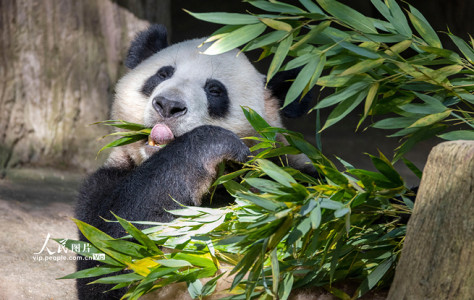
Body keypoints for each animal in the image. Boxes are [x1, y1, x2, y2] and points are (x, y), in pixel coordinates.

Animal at [76, 24, 312, 300]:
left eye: (215, 90)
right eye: (162, 74)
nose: (168, 105)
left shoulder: (289, 177)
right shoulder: (103, 185)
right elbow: (111, 251)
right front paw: (212, 144)